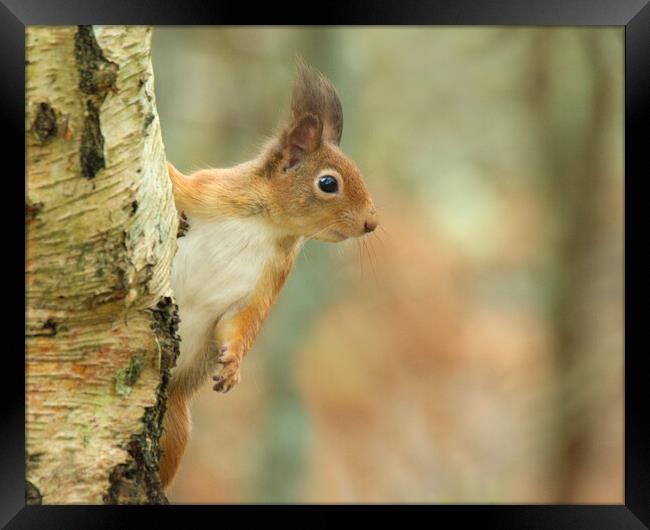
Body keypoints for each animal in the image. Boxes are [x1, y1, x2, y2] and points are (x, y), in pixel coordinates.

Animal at [159, 60, 378, 486]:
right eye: (329, 182)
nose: (371, 223)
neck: (267, 224)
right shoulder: (206, 189)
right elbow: (175, 180)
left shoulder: (268, 281)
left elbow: (241, 322)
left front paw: (232, 365)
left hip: (175, 426)